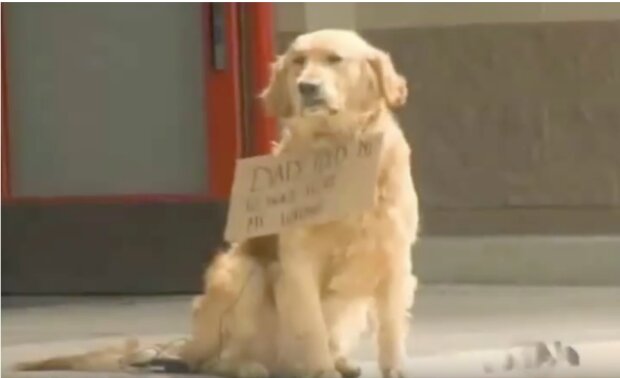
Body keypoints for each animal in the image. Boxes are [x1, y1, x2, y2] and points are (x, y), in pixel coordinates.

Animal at [15, 28, 422, 378]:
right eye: (298, 61)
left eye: (335, 60)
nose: (307, 87)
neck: (336, 147)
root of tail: (186, 347)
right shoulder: (298, 261)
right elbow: (310, 324)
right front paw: (321, 369)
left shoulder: (394, 258)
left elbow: (391, 327)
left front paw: (394, 369)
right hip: (239, 272)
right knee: (218, 360)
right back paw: (250, 366)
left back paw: (338, 362)